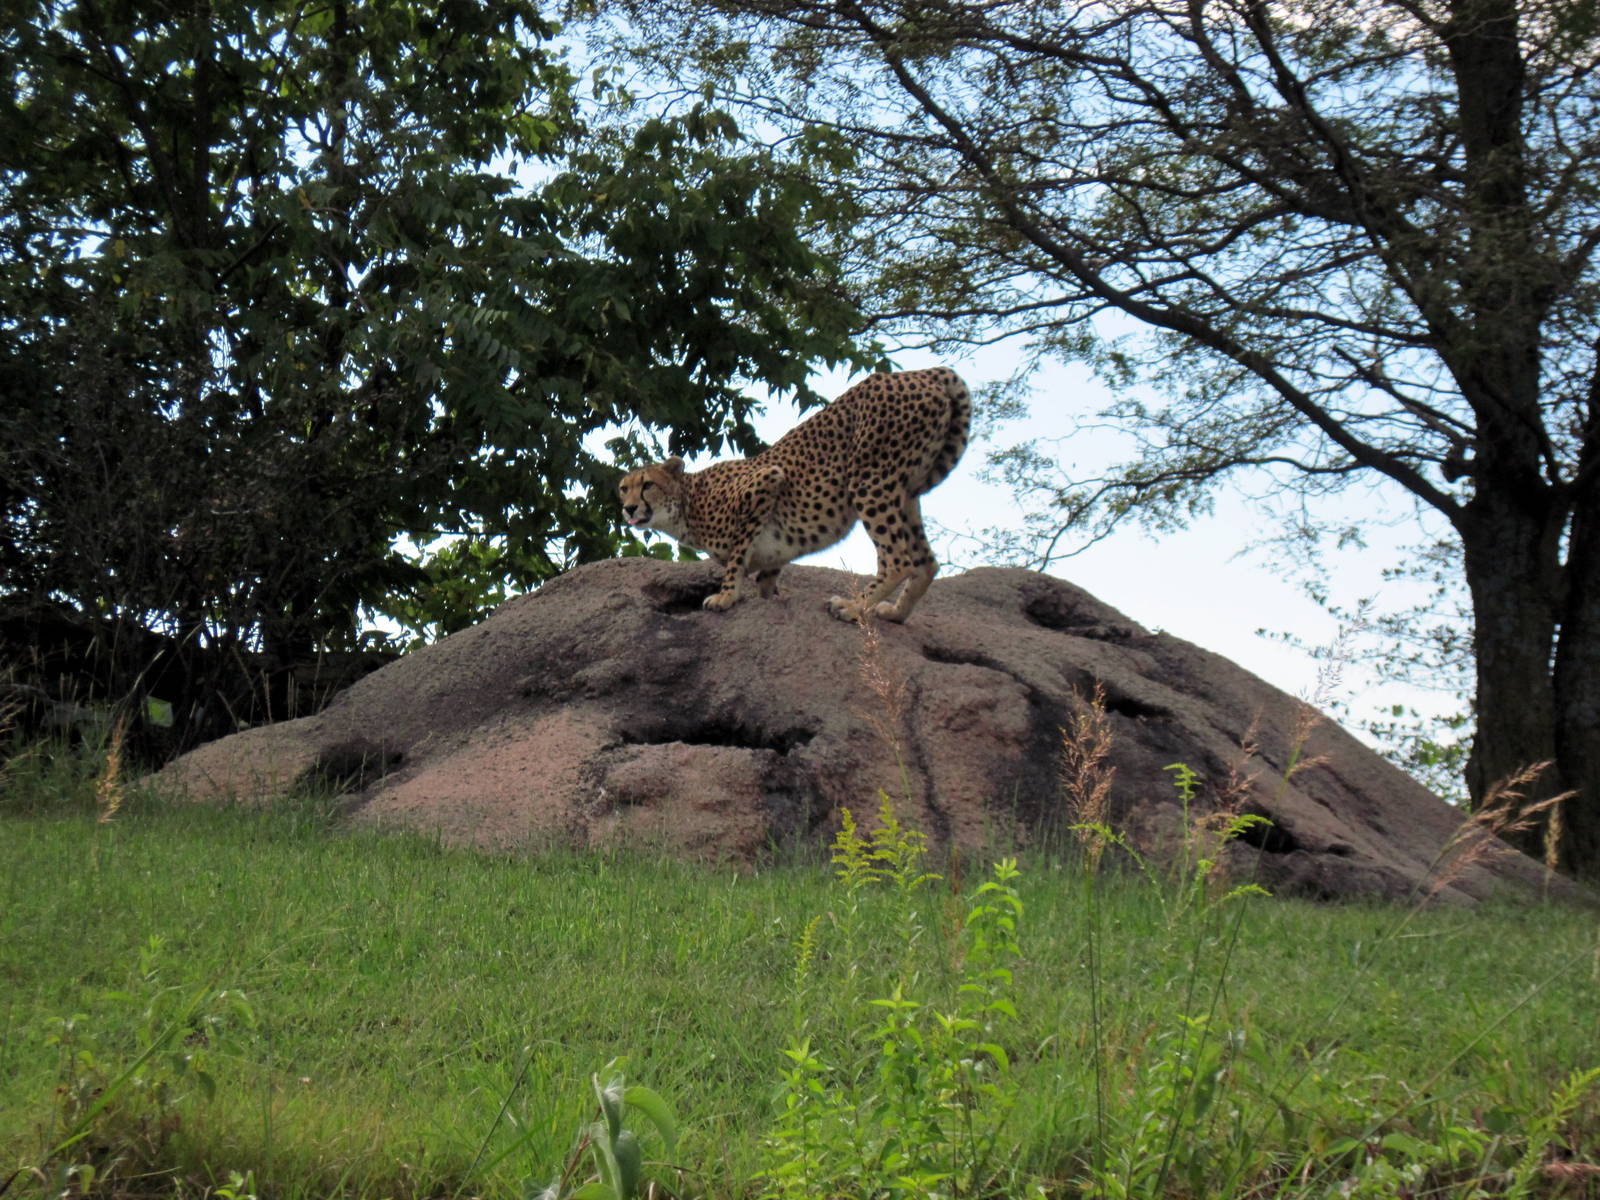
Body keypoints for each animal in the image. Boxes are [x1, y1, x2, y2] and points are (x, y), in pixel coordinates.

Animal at [617, 366, 971, 624]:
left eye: (647, 485)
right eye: (623, 489)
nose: (629, 508)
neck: (685, 507)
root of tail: (925, 371)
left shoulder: (767, 480)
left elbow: (736, 558)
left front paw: (726, 596)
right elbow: (766, 578)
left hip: (870, 481)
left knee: (898, 558)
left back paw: (853, 607)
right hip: (905, 489)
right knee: (926, 562)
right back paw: (895, 613)